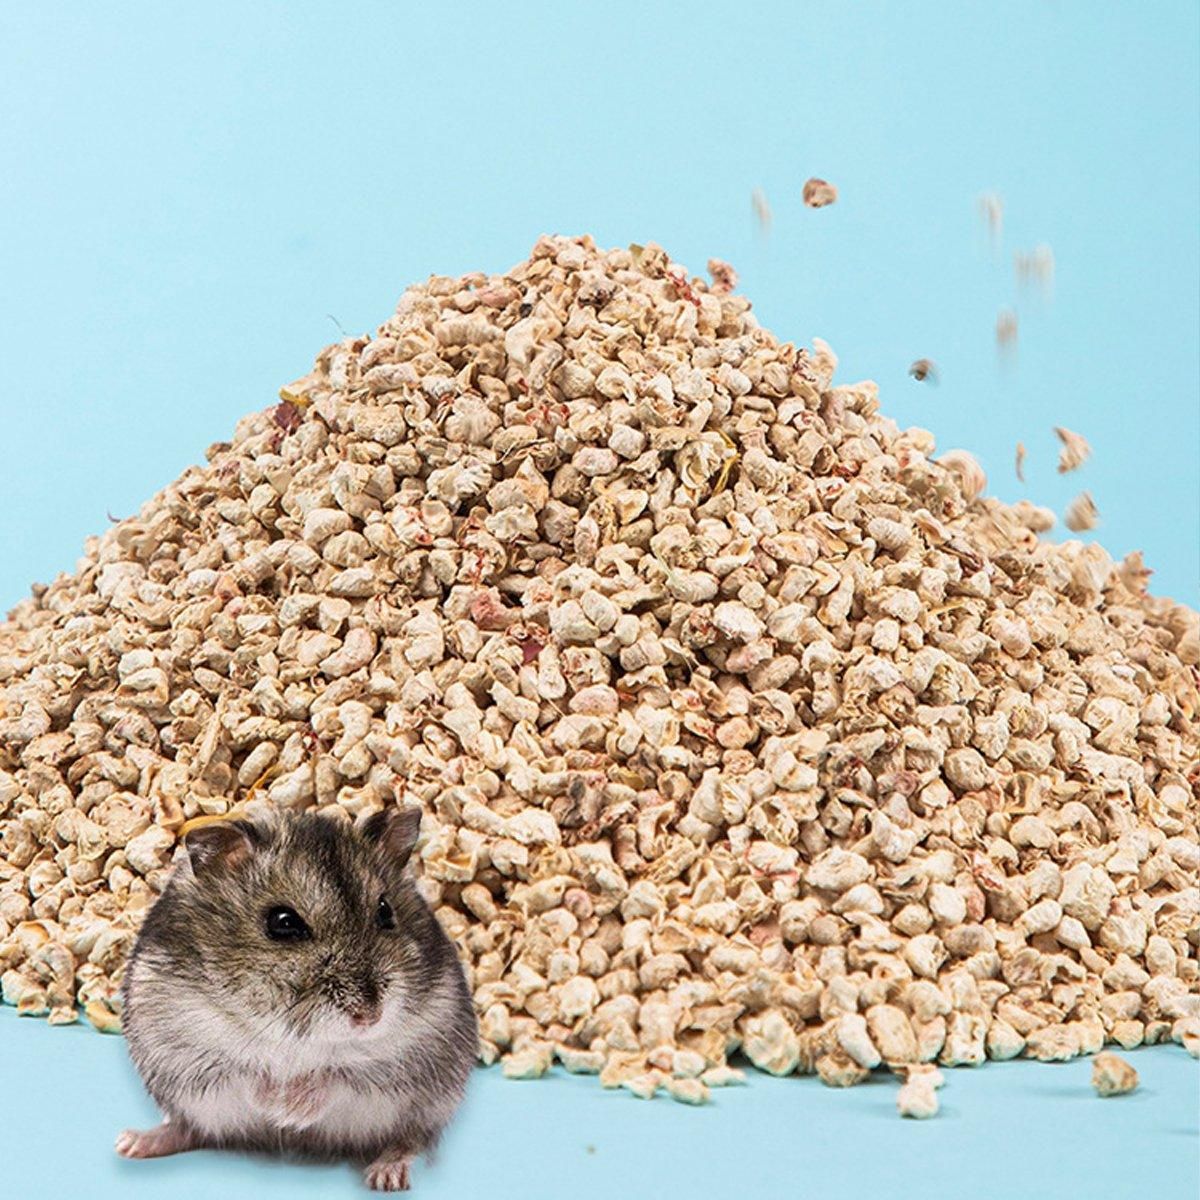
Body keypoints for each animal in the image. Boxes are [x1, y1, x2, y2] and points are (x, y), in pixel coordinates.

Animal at [116, 805, 477, 1192]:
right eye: (283, 922)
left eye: (385, 911)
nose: (370, 1017)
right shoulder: (190, 1044)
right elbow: (247, 1072)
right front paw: (279, 1108)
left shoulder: (409, 1050)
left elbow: (339, 1074)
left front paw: (292, 1112)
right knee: (190, 1128)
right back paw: (132, 1143)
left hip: (430, 1104)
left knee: (411, 1138)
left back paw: (387, 1175)